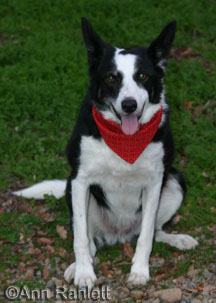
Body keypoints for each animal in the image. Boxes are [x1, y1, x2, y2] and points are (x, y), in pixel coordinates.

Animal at [14, 17, 198, 288]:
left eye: (142, 76)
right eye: (111, 78)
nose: (129, 105)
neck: (124, 140)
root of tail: (118, 235)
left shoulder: (155, 181)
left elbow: (146, 236)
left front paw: (140, 270)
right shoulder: (80, 181)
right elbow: (80, 238)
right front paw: (83, 272)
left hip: (174, 181)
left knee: (154, 231)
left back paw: (177, 239)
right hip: (74, 190)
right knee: (90, 241)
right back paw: (77, 265)